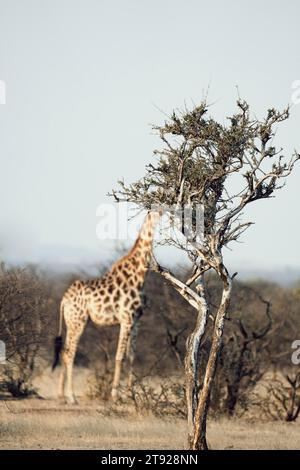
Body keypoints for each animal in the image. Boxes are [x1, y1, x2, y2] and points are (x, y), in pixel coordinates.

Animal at [51, 210, 162, 404]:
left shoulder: (137, 320)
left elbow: (132, 356)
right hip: (78, 322)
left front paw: (131, 395)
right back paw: (72, 396)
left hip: (71, 322)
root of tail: (64, 300)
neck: (140, 275)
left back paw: (61, 395)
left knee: (64, 351)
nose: (163, 213)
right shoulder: (126, 318)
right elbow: (120, 356)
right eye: (154, 211)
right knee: (70, 354)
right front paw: (115, 395)